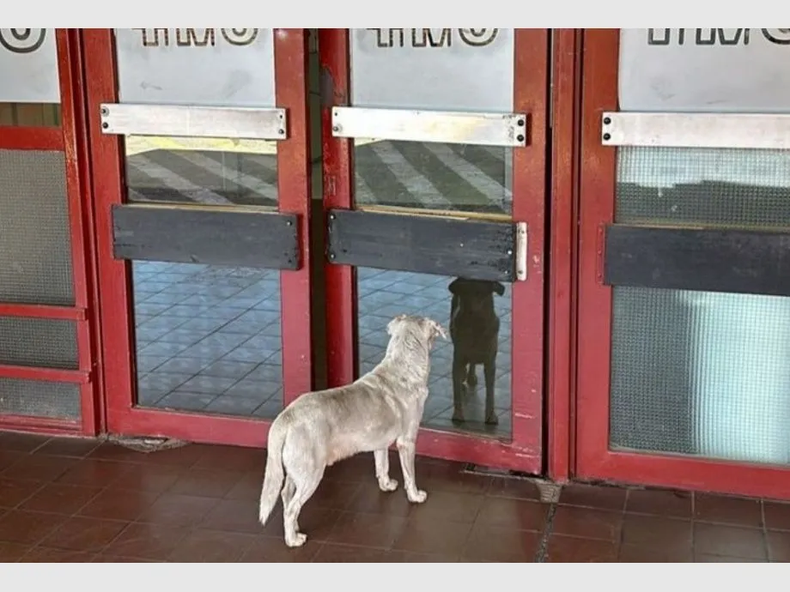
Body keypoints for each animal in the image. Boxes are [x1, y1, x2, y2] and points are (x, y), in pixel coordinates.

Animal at [258, 312, 446, 548]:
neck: (401, 369)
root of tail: (286, 417)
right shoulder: (407, 441)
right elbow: (410, 475)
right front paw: (415, 495)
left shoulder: (380, 444)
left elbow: (382, 466)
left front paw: (386, 485)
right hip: (311, 473)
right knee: (292, 508)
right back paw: (293, 539)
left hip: (297, 469)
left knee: (285, 496)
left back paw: (295, 528)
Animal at [448, 278, 504, 426]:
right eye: (464, 292)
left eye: (480, 293)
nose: (469, 310)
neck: (475, 326)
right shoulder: (458, 358)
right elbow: (456, 392)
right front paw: (458, 415)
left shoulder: (490, 363)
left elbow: (490, 393)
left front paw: (491, 416)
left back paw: (471, 376)